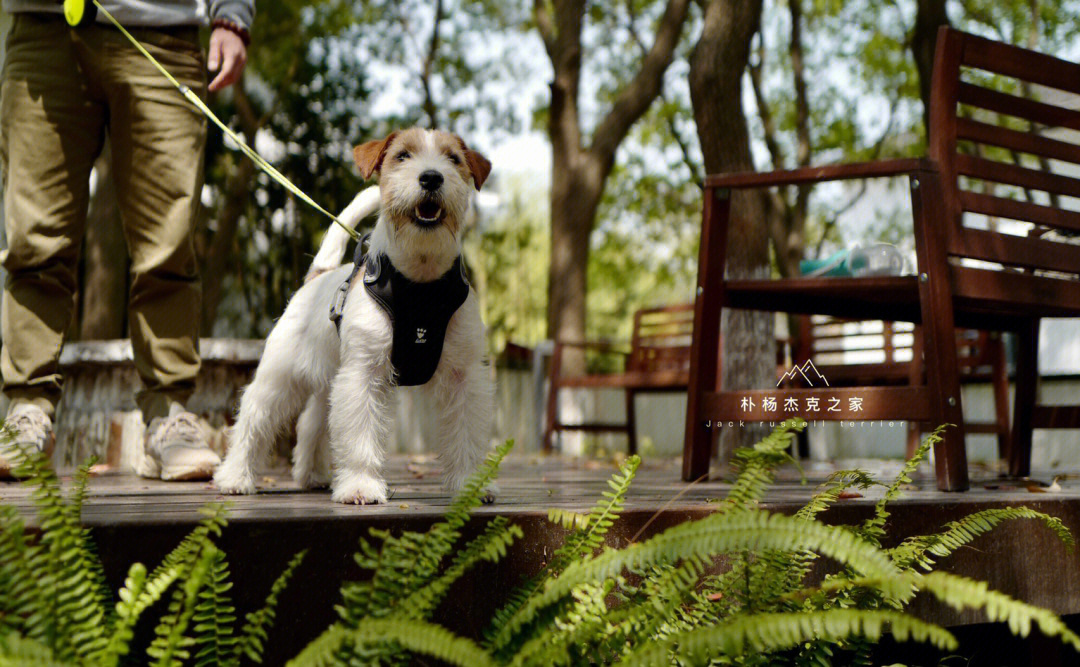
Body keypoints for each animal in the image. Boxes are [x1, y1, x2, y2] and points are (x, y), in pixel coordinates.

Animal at [214, 127, 494, 500]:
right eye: (403, 155)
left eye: (454, 158)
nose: (432, 177)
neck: (420, 280)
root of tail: (316, 275)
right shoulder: (363, 372)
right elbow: (360, 436)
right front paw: (361, 485)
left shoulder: (465, 376)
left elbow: (467, 434)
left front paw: (470, 484)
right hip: (279, 378)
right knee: (253, 419)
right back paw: (235, 477)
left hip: (329, 379)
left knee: (311, 423)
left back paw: (311, 474)